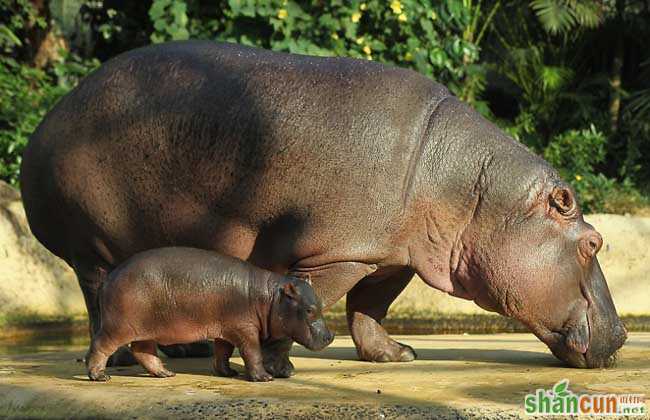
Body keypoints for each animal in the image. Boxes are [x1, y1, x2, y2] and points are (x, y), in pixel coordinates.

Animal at [86, 248, 334, 382]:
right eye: (309, 310)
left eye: (319, 304)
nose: (330, 336)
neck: (269, 297)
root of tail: (109, 276)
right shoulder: (245, 329)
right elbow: (252, 353)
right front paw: (264, 378)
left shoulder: (227, 330)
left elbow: (222, 352)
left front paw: (228, 372)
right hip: (118, 327)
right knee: (100, 345)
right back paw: (99, 376)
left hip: (146, 328)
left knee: (143, 351)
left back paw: (166, 373)